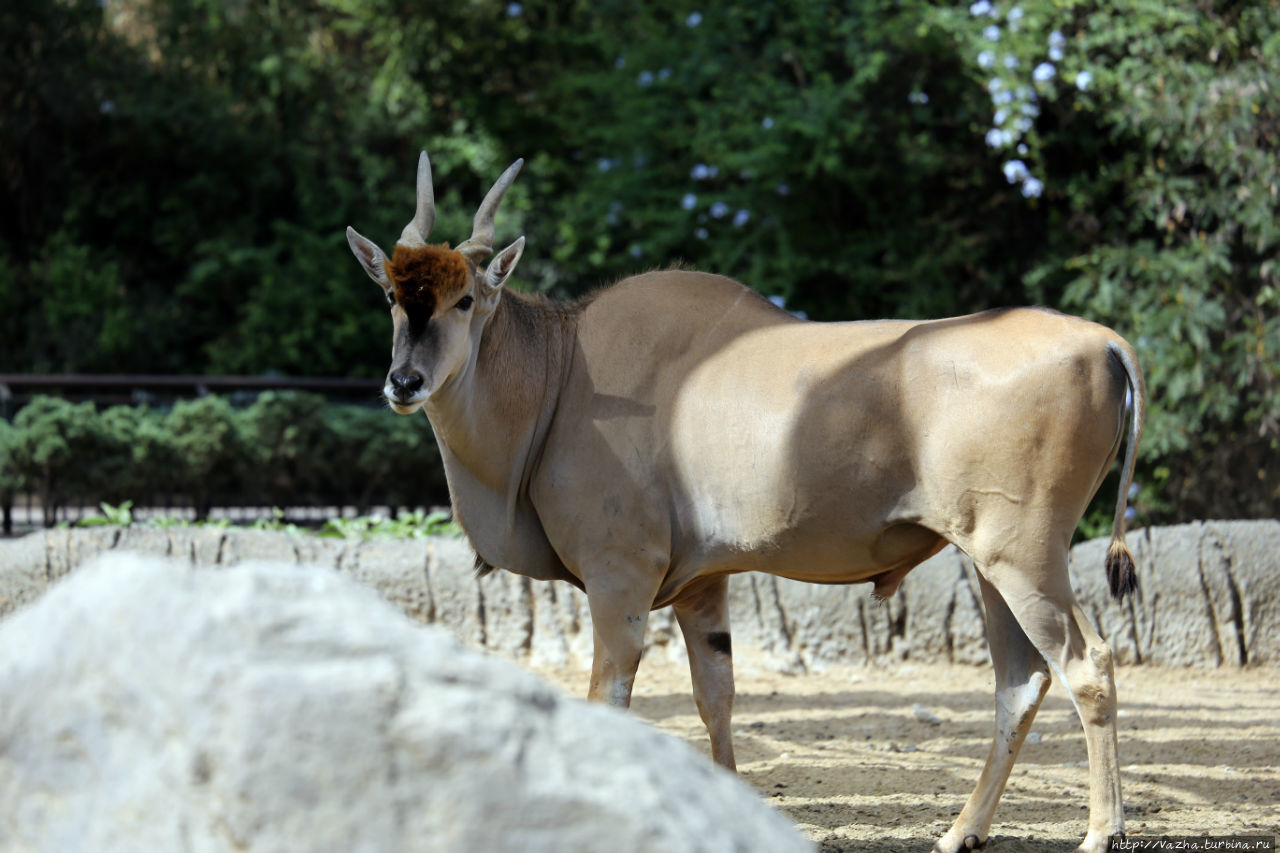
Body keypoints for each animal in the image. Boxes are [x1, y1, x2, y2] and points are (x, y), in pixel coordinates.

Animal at [345, 153, 1146, 850]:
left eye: (466, 299)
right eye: (392, 295)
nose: (404, 381)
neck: (564, 371)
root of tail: (1104, 342)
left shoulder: (619, 581)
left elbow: (612, 699)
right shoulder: (704, 587)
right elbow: (717, 696)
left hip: (1020, 556)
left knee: (1088, 664)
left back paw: (1100, 831)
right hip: (987, 563)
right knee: (1021, 680)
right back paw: (960, 831)